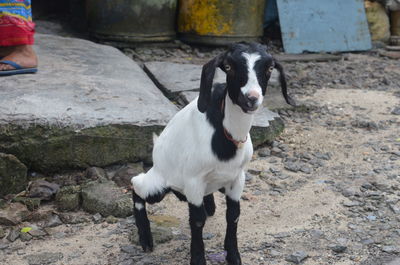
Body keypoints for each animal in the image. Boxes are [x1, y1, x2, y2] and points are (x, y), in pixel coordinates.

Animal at [130, 42, 294, 262]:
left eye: (269, 68)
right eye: (229, 67)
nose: (251, 98)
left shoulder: (237, 177)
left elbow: (233, 215)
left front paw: (233, 256)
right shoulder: (193, 180)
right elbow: (197, 220)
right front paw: (198, 259)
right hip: (158, 184)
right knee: (136, 184)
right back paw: (146, 240)